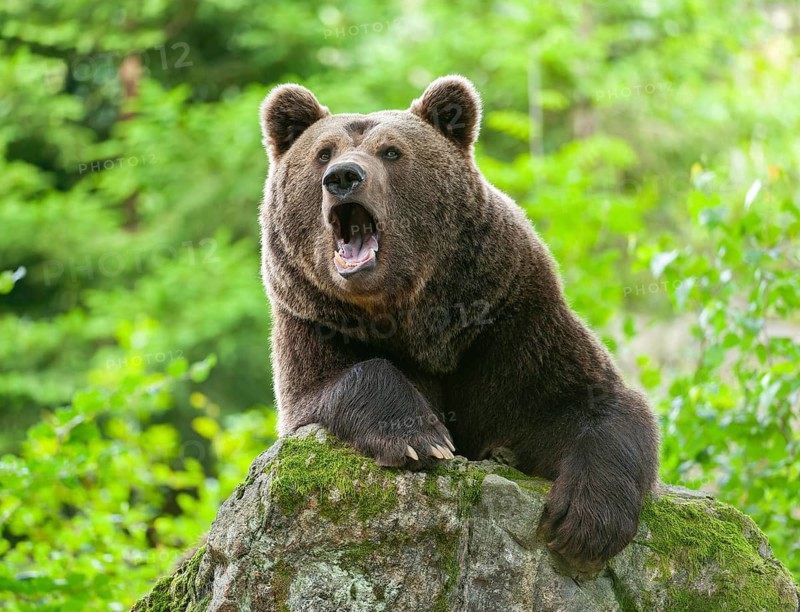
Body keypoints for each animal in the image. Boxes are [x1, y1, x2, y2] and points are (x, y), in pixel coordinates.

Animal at [258, 75, 660, 571]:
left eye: (391, 151)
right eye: (323, 152)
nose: (343, 178)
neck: (411, 314)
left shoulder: (511, 319)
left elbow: (592, 402)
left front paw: (586, 523)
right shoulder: (313, 321)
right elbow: (324, 388)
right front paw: (419, 436)